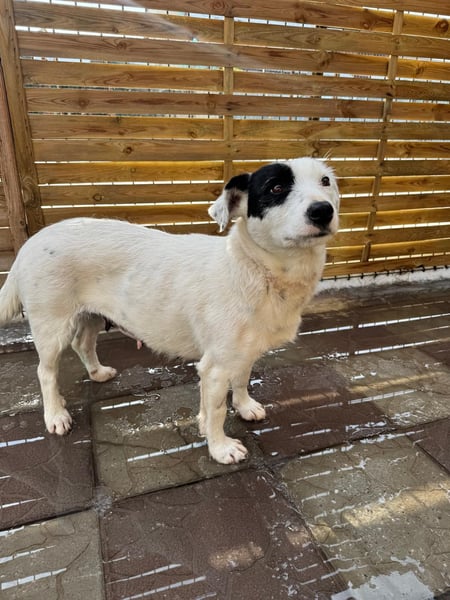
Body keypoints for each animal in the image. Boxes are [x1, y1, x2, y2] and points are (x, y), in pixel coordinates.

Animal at [0, 157, 339, 464]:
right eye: (276, 187)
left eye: (325, 181)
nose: (323, 210)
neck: (258, 269)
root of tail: (30, 243)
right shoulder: (215, 367)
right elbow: (216, 411)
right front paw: (220, 448)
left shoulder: (243, 352)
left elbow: (241, 381)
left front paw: (244, 407)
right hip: (51, 326)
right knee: (45, 371)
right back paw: (55, 414)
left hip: (91, 316)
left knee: (82, 343)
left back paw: (97, 373)